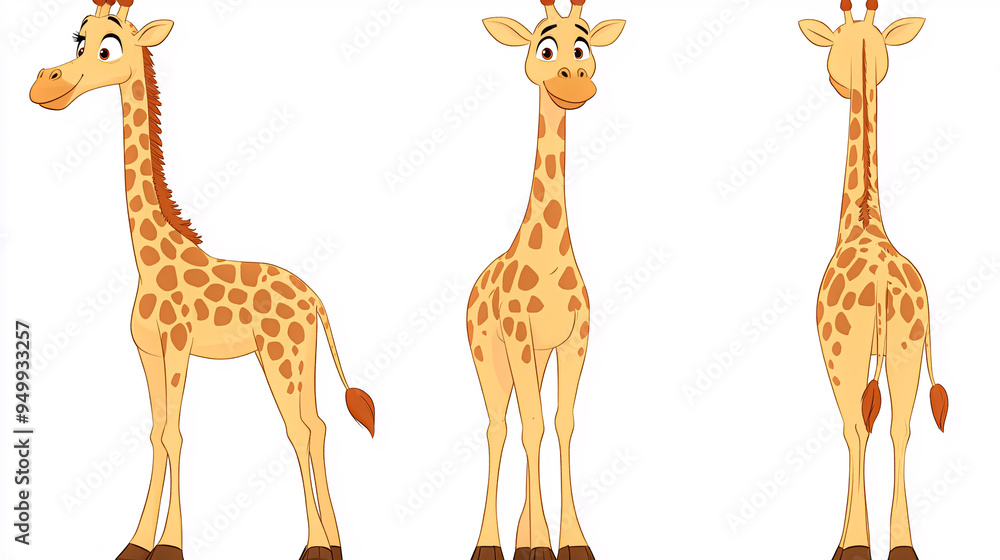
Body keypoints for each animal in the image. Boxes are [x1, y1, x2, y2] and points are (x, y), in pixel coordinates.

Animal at [28, 2, 374, 560]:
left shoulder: (178, 345)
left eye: (108, 48)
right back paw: (336, 543)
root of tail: (315, 298)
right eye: (78, 39)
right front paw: (136, 542)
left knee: (299, 430)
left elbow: (175, 433)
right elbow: (155, 433)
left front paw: (170, 544)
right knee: (318, 426)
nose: (43, 84)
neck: (149, 259)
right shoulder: (147, 350)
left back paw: (316, 545)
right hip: (303, 357)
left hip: (279, 357)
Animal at [468, 2, 624, 560]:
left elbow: (560, 422)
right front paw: (537, 545)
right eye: (545, 47)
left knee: (522, 422)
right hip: (489, 355)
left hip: (531, 360)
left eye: (584, 48)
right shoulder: (519, 335)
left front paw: (570, 541)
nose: (573, 80)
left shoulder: (575, 338)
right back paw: (490, 544)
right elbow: (531, 426)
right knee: (499, 427)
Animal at [799, 3, 949, 560]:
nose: (835, 83)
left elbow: (852, 428)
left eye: (832, 49)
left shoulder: (835, 350)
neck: (861, 221)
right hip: (908, 345)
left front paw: (851, 542)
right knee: (901, 427)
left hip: (849, 348)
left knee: (858, 427)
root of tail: (884, 285)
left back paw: (853, 545)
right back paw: (904, 545)